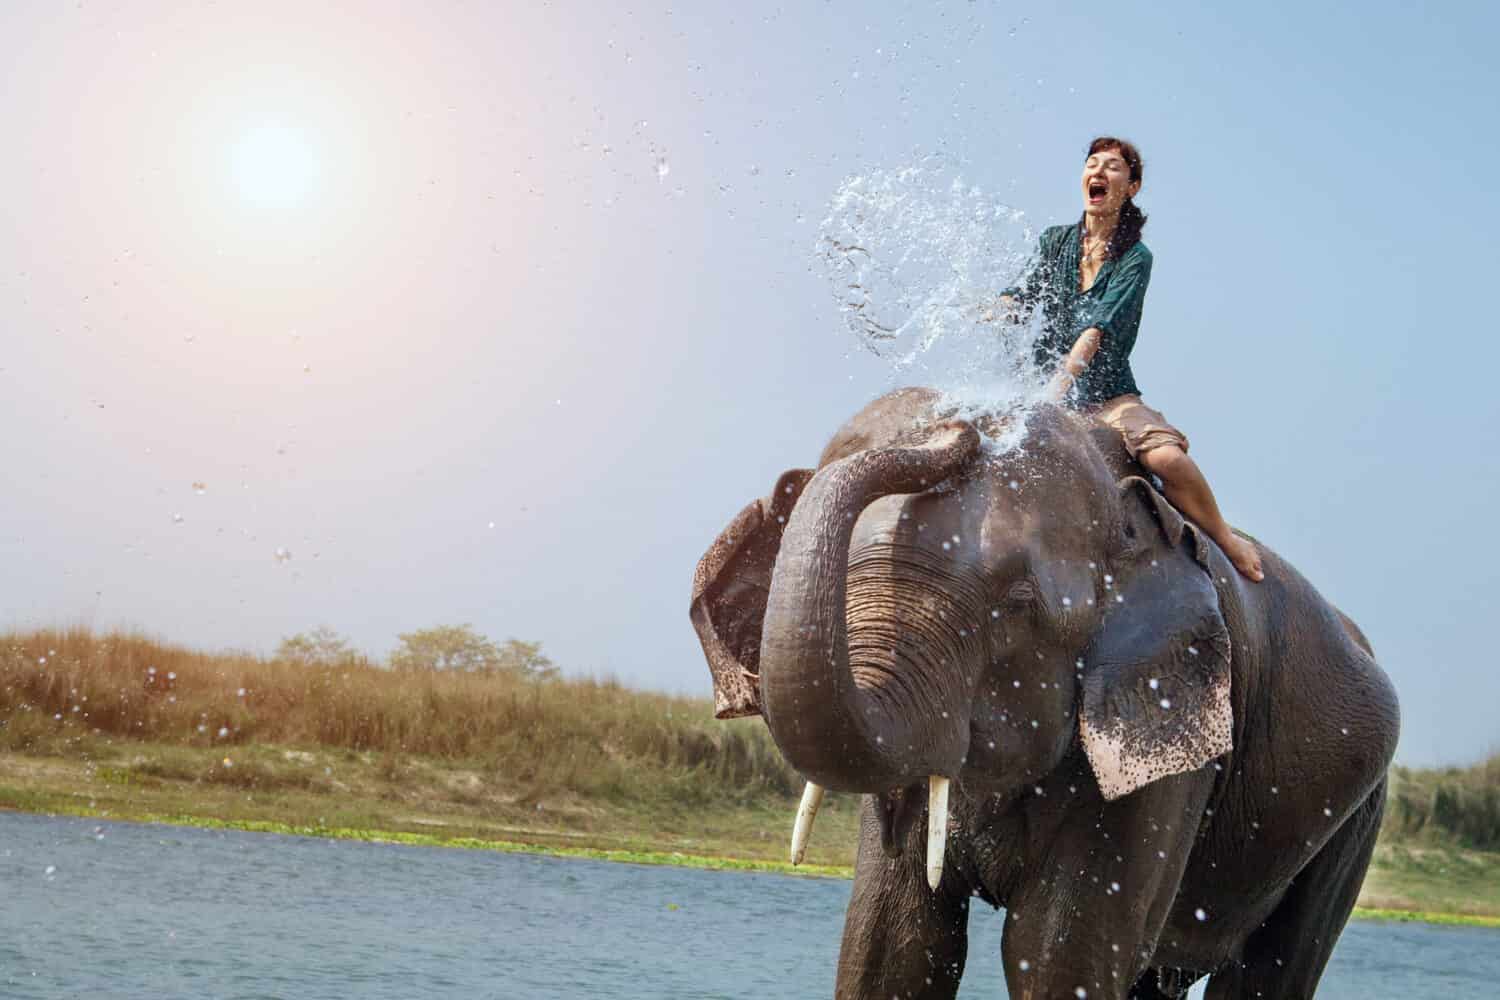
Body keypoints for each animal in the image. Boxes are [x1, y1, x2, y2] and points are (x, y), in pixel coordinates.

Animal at [687, 389, 1398, 1000]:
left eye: (1017, 605)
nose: (957, 427)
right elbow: (890, 946)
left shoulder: (1173, 738)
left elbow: (1055, 954)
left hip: (1355, 815)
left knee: (1269, 975)